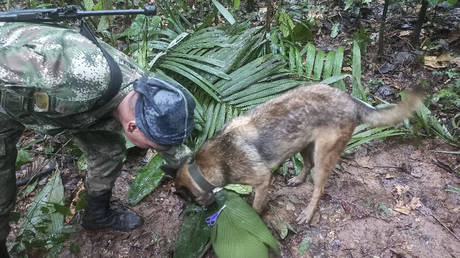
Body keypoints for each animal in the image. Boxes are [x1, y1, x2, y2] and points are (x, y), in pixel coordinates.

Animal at [173, 83, 424, 224]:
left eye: (188, 200)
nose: (204, 210)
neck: (203, 168)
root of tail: (350, 99)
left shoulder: (262, 180)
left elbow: (256, 205)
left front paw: (254, 217)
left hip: (324, 156)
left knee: (319, 187)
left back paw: (308, 213)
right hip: (303, 143)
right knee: (307, 165)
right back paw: (297, 179)